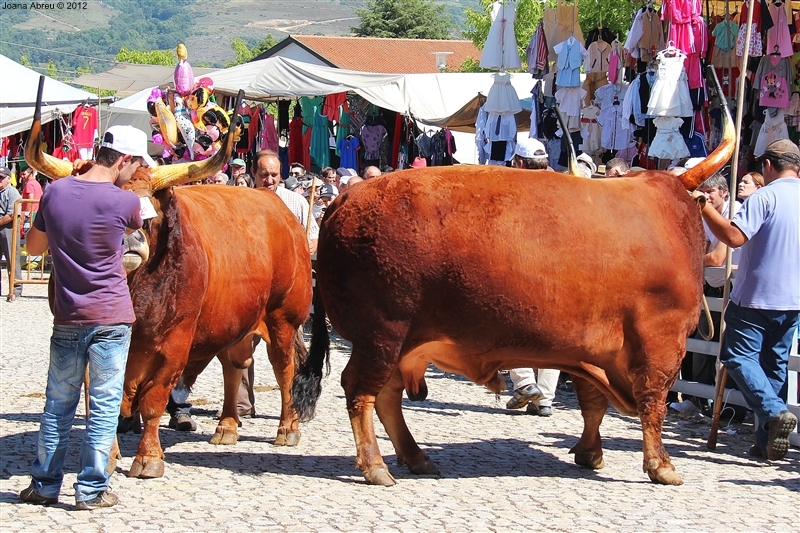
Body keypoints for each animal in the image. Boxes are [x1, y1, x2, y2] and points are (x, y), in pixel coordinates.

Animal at [28, 86, 322, 478]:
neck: (136, 295)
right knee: (234, 365)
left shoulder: (175, 342)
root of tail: (281, 211)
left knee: (284, 367)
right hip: (235, 320)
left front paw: (148, 458)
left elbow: (153, 399)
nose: (128, 242)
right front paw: (109, 455)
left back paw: (287, 429)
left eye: (147, 212)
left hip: (283, 318)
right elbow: (102, 399)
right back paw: (227, 426)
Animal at [296, 80, 736, 486]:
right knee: (361, 391)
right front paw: (661, 464)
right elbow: (653, 400)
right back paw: (375, 465)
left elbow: (594, 404)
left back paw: (415, 457)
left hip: (396, 341)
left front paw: (590, 453)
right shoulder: (660, 339)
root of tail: (345, 200)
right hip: (383, 335)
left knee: (385, 396)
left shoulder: (589, 348)